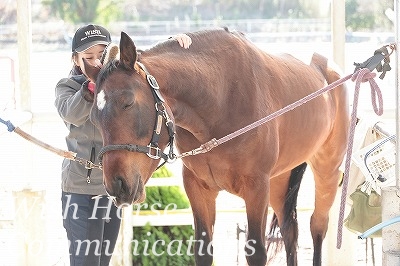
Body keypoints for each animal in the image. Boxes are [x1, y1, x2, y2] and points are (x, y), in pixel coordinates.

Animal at [86, 28, 348, 264]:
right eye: (93, 118)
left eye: (128, 102)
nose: (117, 185)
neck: (222, 99)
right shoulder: (198, 188)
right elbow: (203, 251)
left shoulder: (256, 188)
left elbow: (257, 252)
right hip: (280, 179)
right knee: (290, 230)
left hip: (327, 169)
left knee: (317, 226)